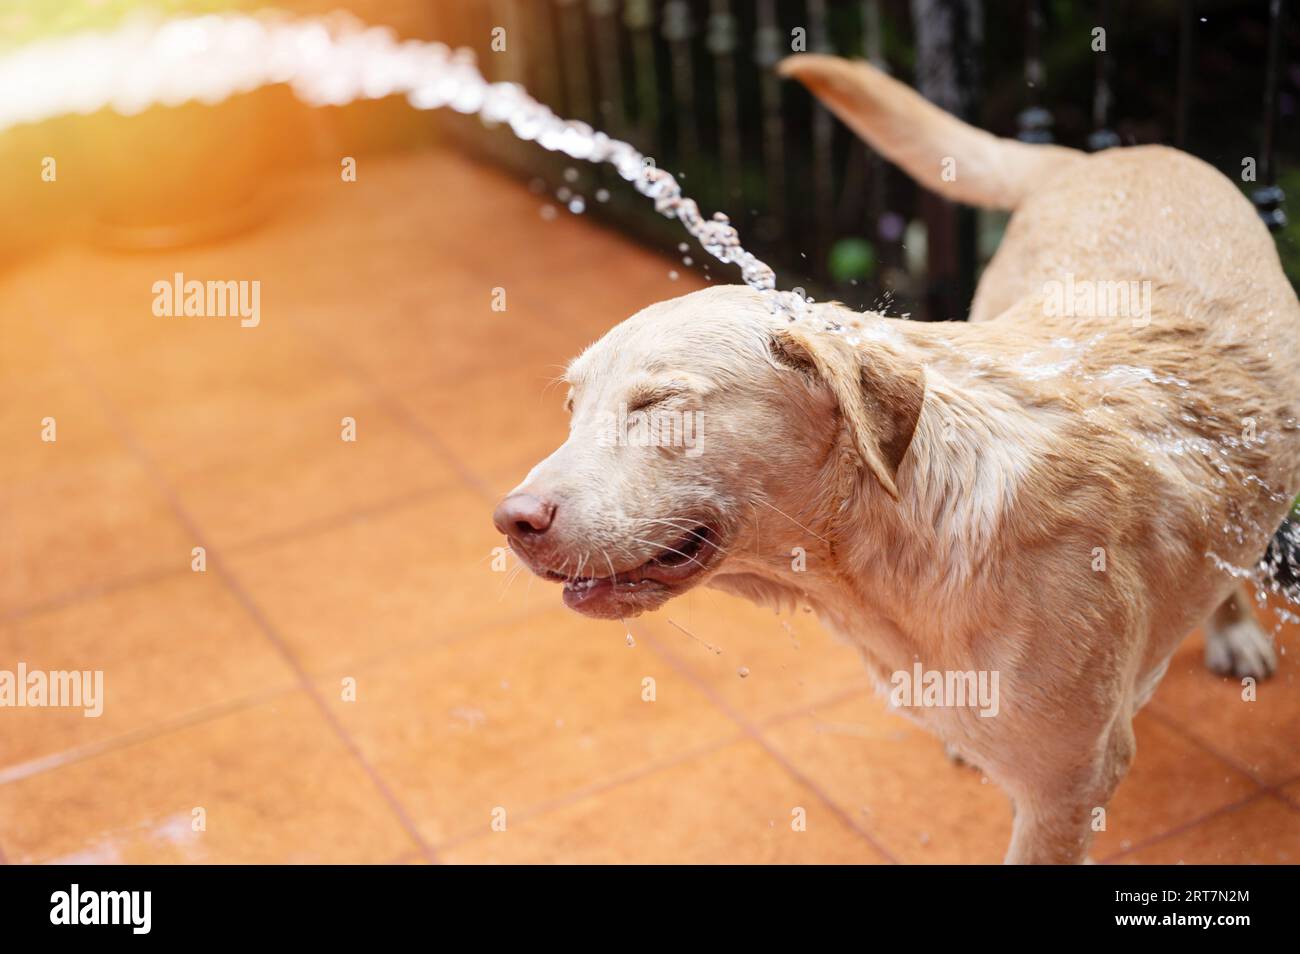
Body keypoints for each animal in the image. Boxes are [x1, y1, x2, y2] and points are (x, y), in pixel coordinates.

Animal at [488, 57, 1300, 868]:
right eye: (573, 407)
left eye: (658, 403)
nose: (511, 521)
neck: (899, 549)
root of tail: (1107, 155)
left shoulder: (1069, 784)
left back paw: (1232, 628)